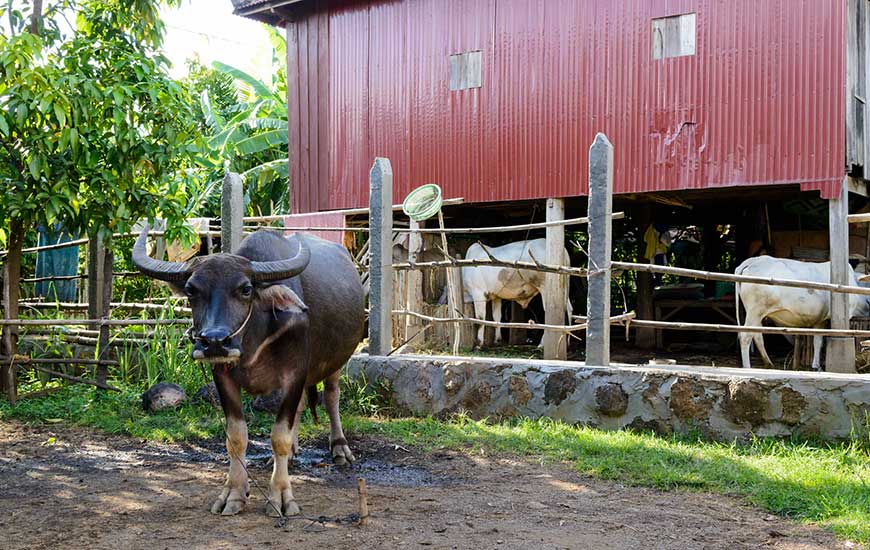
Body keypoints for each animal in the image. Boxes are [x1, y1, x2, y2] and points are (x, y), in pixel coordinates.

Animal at [133, 227, 364, 516]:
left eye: (245, 289)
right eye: (190, 290)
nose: (215, 342)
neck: (254, 339)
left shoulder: (295, 375)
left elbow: (279, 436)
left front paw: (281, 496)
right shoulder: (223, 377)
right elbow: (236, 436)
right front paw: (233, 493)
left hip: (336, 362)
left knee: (332, 397)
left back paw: (340, 448)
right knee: (301, 406)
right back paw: (294, 451)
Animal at [736, 258, 870, 370]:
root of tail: (753, 260)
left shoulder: (820, 320)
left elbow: (818, 341)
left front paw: (816, 365)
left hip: (756, 314)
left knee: (757, 336)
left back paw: (769, 363)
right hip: (755, 311)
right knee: (745, 336)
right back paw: (747, 368)